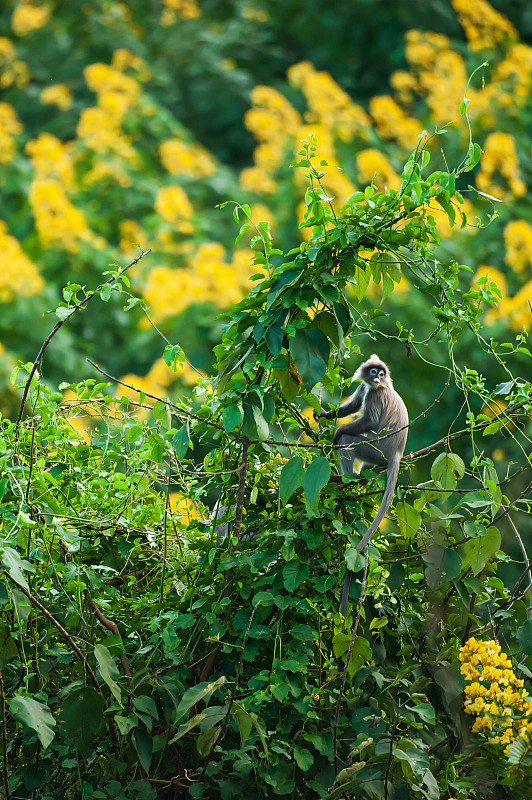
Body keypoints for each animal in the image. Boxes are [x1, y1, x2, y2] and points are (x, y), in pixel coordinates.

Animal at [318, 354, 410, 612]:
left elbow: (369, 421)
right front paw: (326, 415)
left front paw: (338, 428)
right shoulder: (366, 388)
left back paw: (343, 478)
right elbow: (353, 406)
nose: (377, 377)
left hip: (373, 449)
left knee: (348, 441)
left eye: (381, 373)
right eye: (373, 372)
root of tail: (396, 451)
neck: (375, 387)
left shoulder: (376, 395)